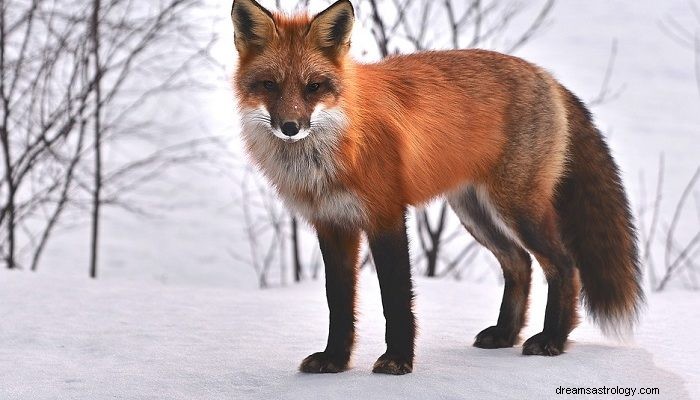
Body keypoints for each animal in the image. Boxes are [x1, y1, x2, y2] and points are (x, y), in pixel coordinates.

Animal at [231, 0, 644, 376]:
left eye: (313, 87)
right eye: (269, 85)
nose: (290, 127)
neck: (335, 148)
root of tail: (546, 76)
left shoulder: (386, 215)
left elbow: (396, 298)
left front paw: (397, 360)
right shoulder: (332, 224)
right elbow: (339, 302)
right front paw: (335, 360)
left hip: (517, 208)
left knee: (564, 265)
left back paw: (552, 340)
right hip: (474, 212)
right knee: (519, 263)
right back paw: (505, 334)